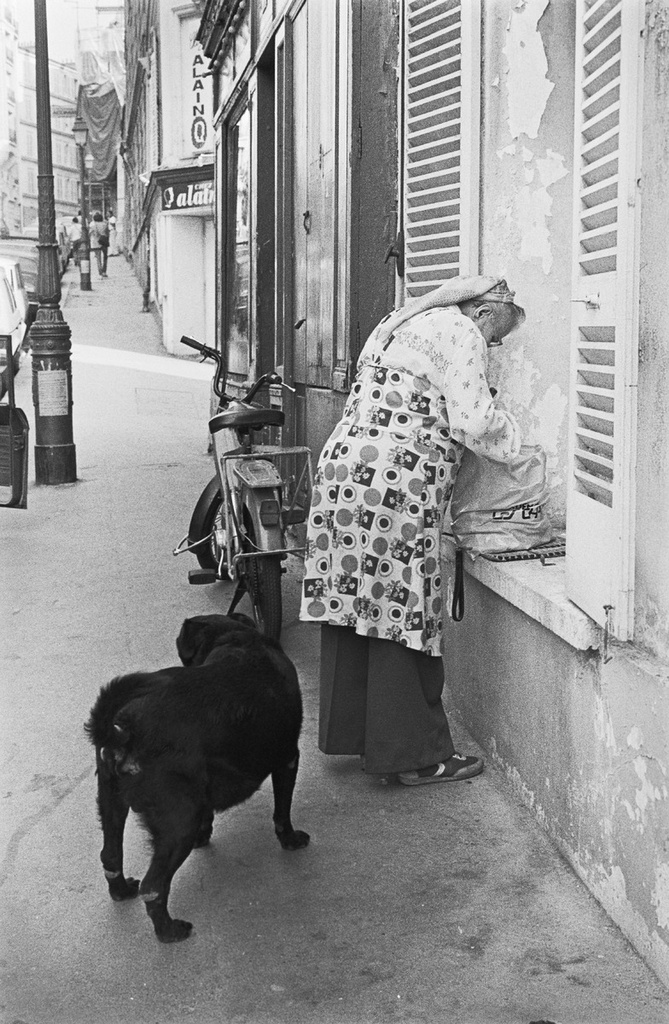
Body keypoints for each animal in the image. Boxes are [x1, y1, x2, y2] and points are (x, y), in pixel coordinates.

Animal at [84, 614, 311, 942]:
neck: (237, 637)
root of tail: (124, 732)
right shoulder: (288, 759)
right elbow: (282, 812)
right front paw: (289, 839)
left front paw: (206, 836)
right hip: (179, 824)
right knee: (153, 886)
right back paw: (168, 930)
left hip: (111, 803)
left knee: (110, 856)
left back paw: (122, 890)